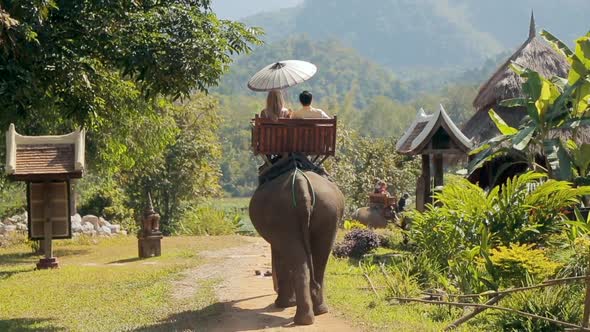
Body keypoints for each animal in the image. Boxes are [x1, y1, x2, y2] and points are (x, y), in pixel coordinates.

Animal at [249, 169, 342, 324]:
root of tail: (300, 182)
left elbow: (280, 255)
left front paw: (284, 304)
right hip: (327, 212)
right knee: (319, 257)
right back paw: (316, 313)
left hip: (283, 216)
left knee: (299, 257)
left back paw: (302, 317)